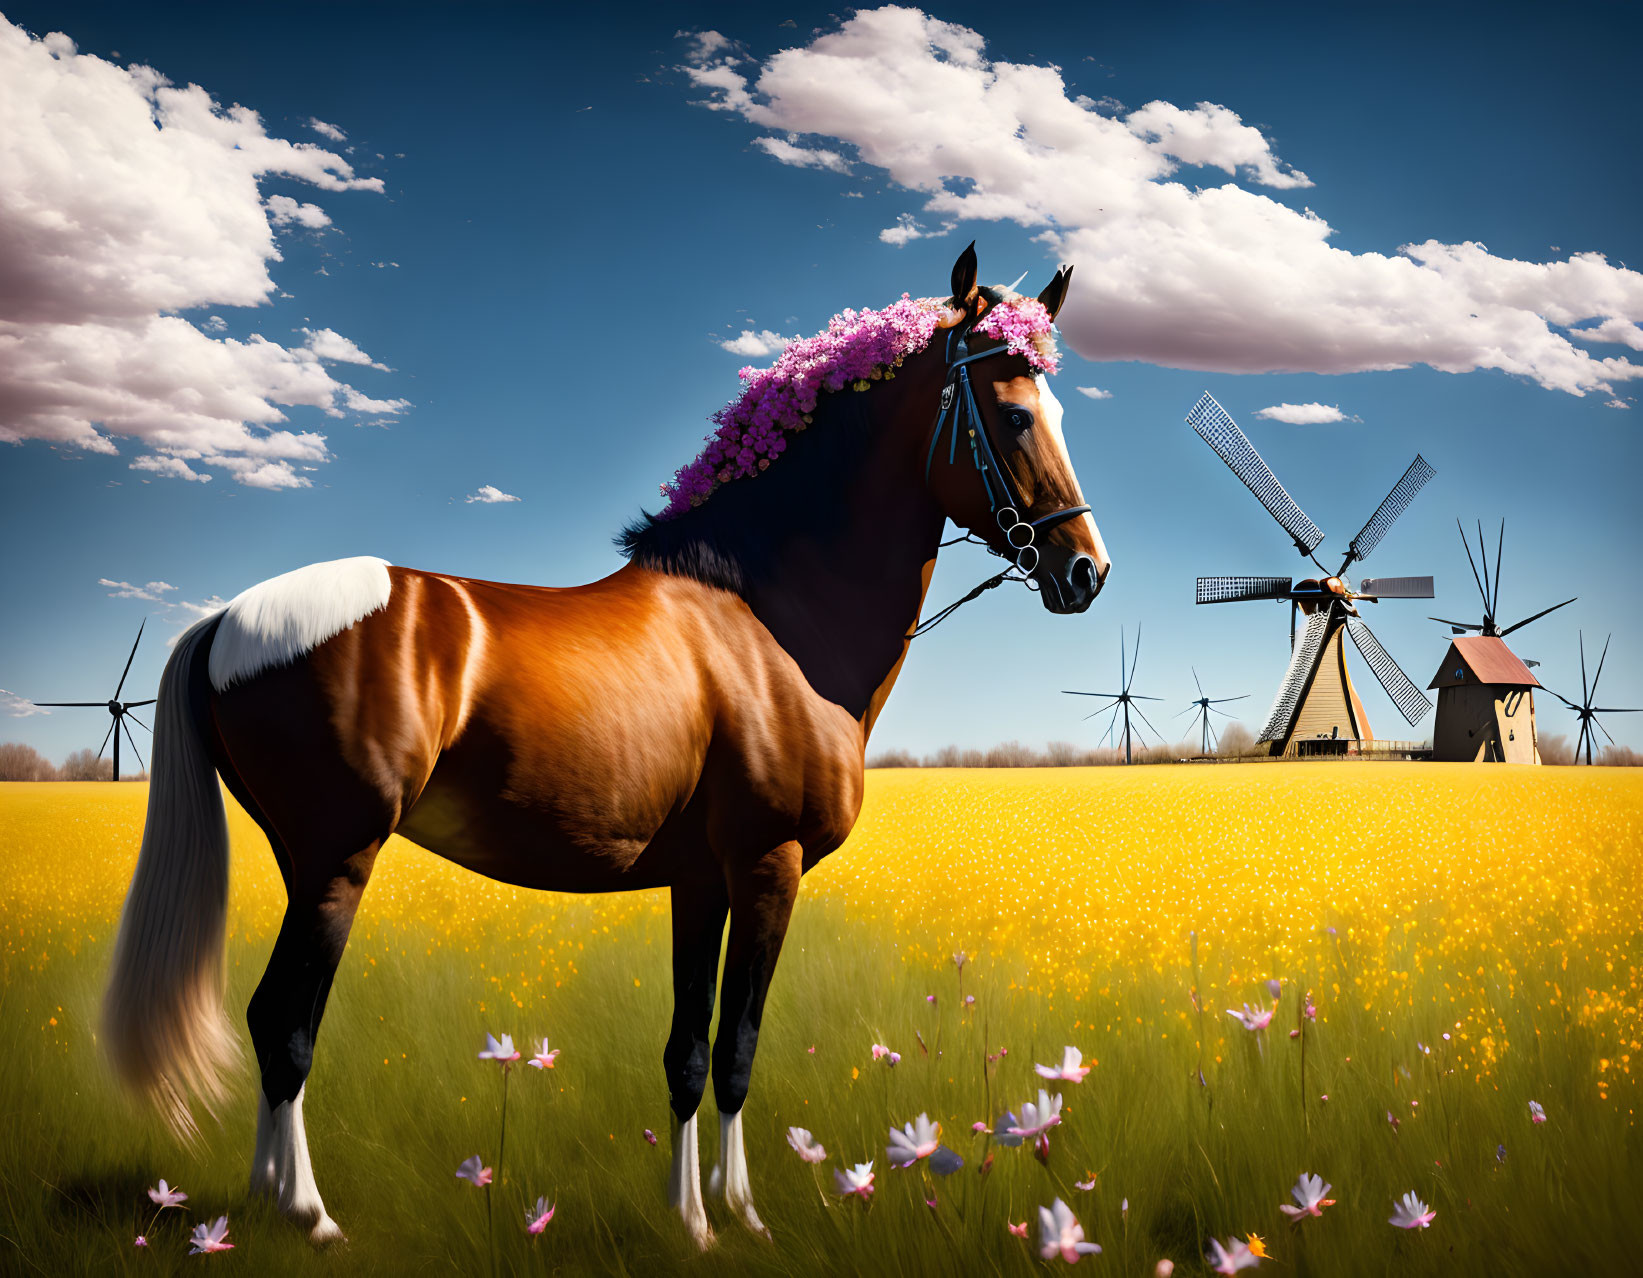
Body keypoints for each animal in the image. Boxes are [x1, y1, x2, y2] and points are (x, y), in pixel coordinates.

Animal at [99, 244, 1104, 1241]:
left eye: (1058, 413)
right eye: (1014, 416)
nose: (1083, 572)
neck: (768, 621)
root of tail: (229, 619)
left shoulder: (702, 882)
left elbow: (688, 1055)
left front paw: (691, 1216)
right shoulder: (768, 868)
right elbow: (737, 1050)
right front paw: (742, 1216)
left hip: (298, 859)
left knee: (272, 1021)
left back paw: (269, 1201)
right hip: (337, 862)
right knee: (284, 1026)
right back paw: (308, 1214)